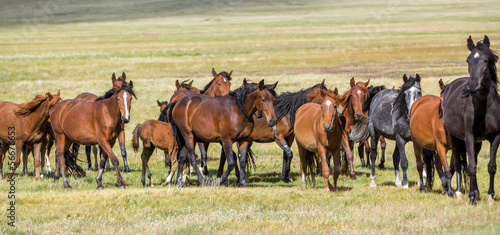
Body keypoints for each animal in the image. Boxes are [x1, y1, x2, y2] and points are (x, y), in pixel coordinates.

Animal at [444, 35, 498, 204]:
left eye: (486, 60)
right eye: (468, 60)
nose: (472, 87)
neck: (485, 107)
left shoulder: (496, 137)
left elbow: (491, 166)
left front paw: (490, 196)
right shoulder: (469, 136)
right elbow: (471, 167)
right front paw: (472, 198)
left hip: (477, 143)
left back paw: (477, 192)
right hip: (453, 137)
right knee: (458, 163)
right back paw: (460, 193)